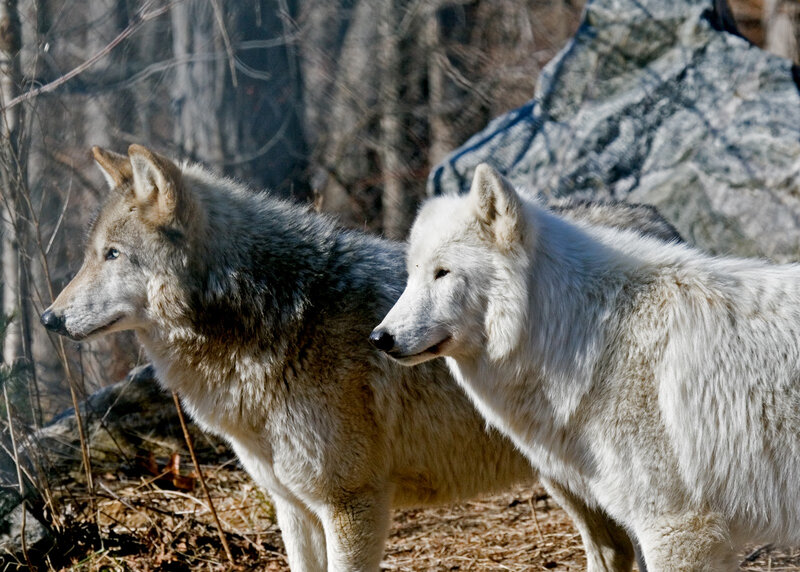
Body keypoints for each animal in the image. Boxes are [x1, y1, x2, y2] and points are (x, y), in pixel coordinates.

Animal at [40, 146, 646, 571]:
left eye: (112, 255)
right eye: (92, 254)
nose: (49, 318)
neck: (278, 318)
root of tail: (652, 219)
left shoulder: (351, 505)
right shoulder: (293, 509)